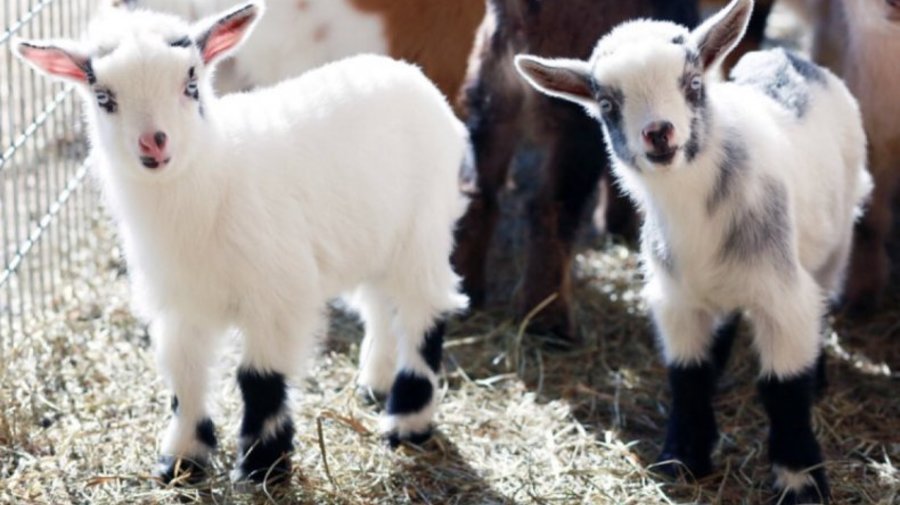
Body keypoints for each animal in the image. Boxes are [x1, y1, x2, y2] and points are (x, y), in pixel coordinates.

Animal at [15, 1, 468, 483]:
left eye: (191, 83)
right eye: (103, 97)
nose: (154, 142)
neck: (215, 177)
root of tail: (407, 73)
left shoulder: (277, 294)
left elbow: (259, 378)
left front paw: (262, 464)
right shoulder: (177, 304)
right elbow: (185, 378)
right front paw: (182, 460)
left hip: (423, 227)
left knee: (425, 310)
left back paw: (408, 421)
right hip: (372, 235)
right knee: (380, 304)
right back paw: (374, 384)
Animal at [452, 0, 701, 342]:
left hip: (490, 93)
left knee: (478, 191)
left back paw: (466, 292)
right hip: (572, 119)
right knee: (551, 207)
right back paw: (548, 322)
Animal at [515, 0, 870, 502]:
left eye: (694, 84)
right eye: (607, 104)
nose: (658, 132)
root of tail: (788, 57)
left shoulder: (782, 295)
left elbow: (783, 387)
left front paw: (799, 478)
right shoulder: (676, 298)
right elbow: (688, 376)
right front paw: (683, 457)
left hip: (833, 247)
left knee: (821, 297)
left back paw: (818, 376)